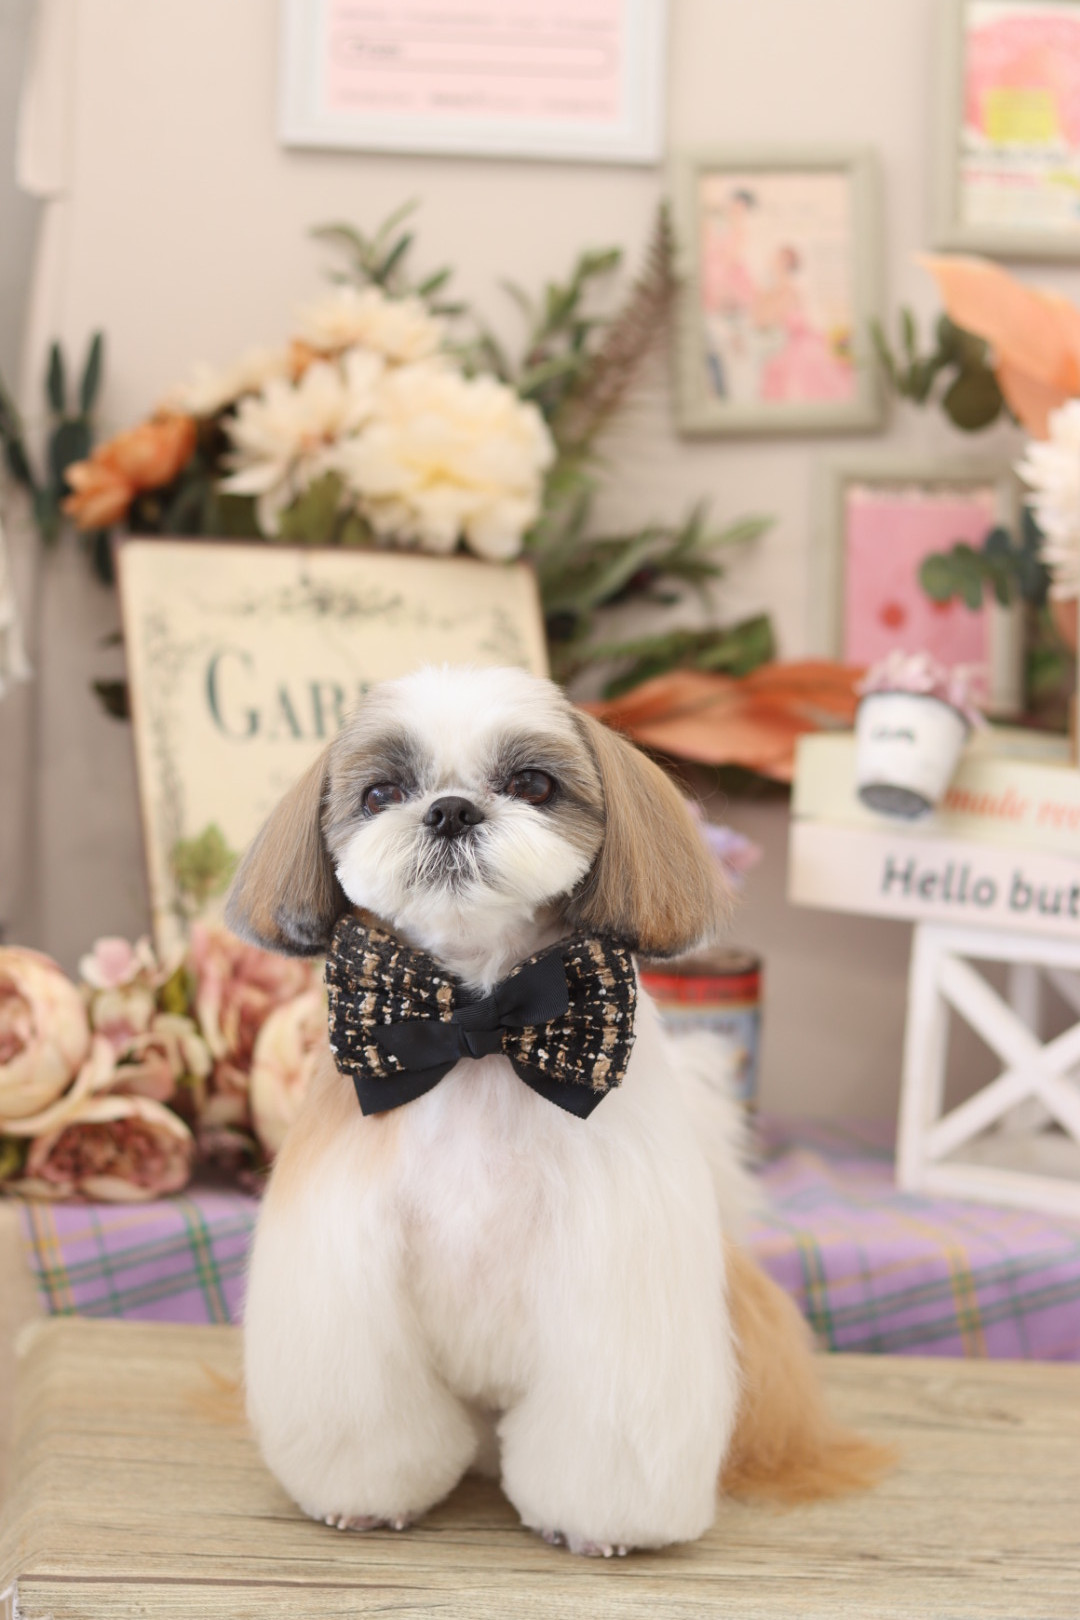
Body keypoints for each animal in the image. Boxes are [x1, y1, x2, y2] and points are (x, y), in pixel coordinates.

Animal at [227, 664, 889, 1556]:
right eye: (381, 792)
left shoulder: (613, 1270)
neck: (479, 1033)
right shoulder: (348, 1261)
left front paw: (597, 1526)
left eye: (533, 784)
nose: (450, 809)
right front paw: (365, 1500)